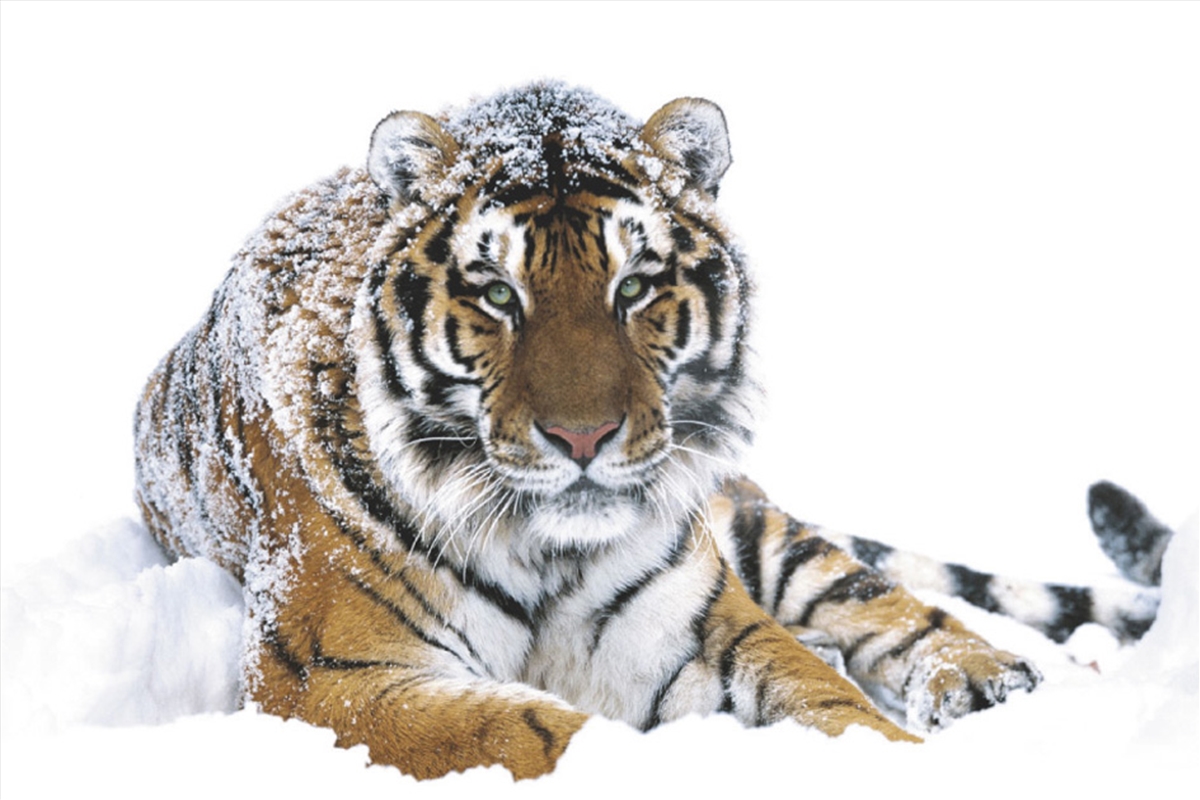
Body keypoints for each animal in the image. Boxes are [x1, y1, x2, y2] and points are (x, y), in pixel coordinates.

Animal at [133, 82, 1162, 780]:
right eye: (497, 293)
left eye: (633, 286)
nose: (583, 439)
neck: (543, 550)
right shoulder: (329, 677)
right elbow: (531, 730)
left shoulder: (695, 630)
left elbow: (827, 697)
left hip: (756, 528)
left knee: (884, 601)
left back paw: (980, 678)